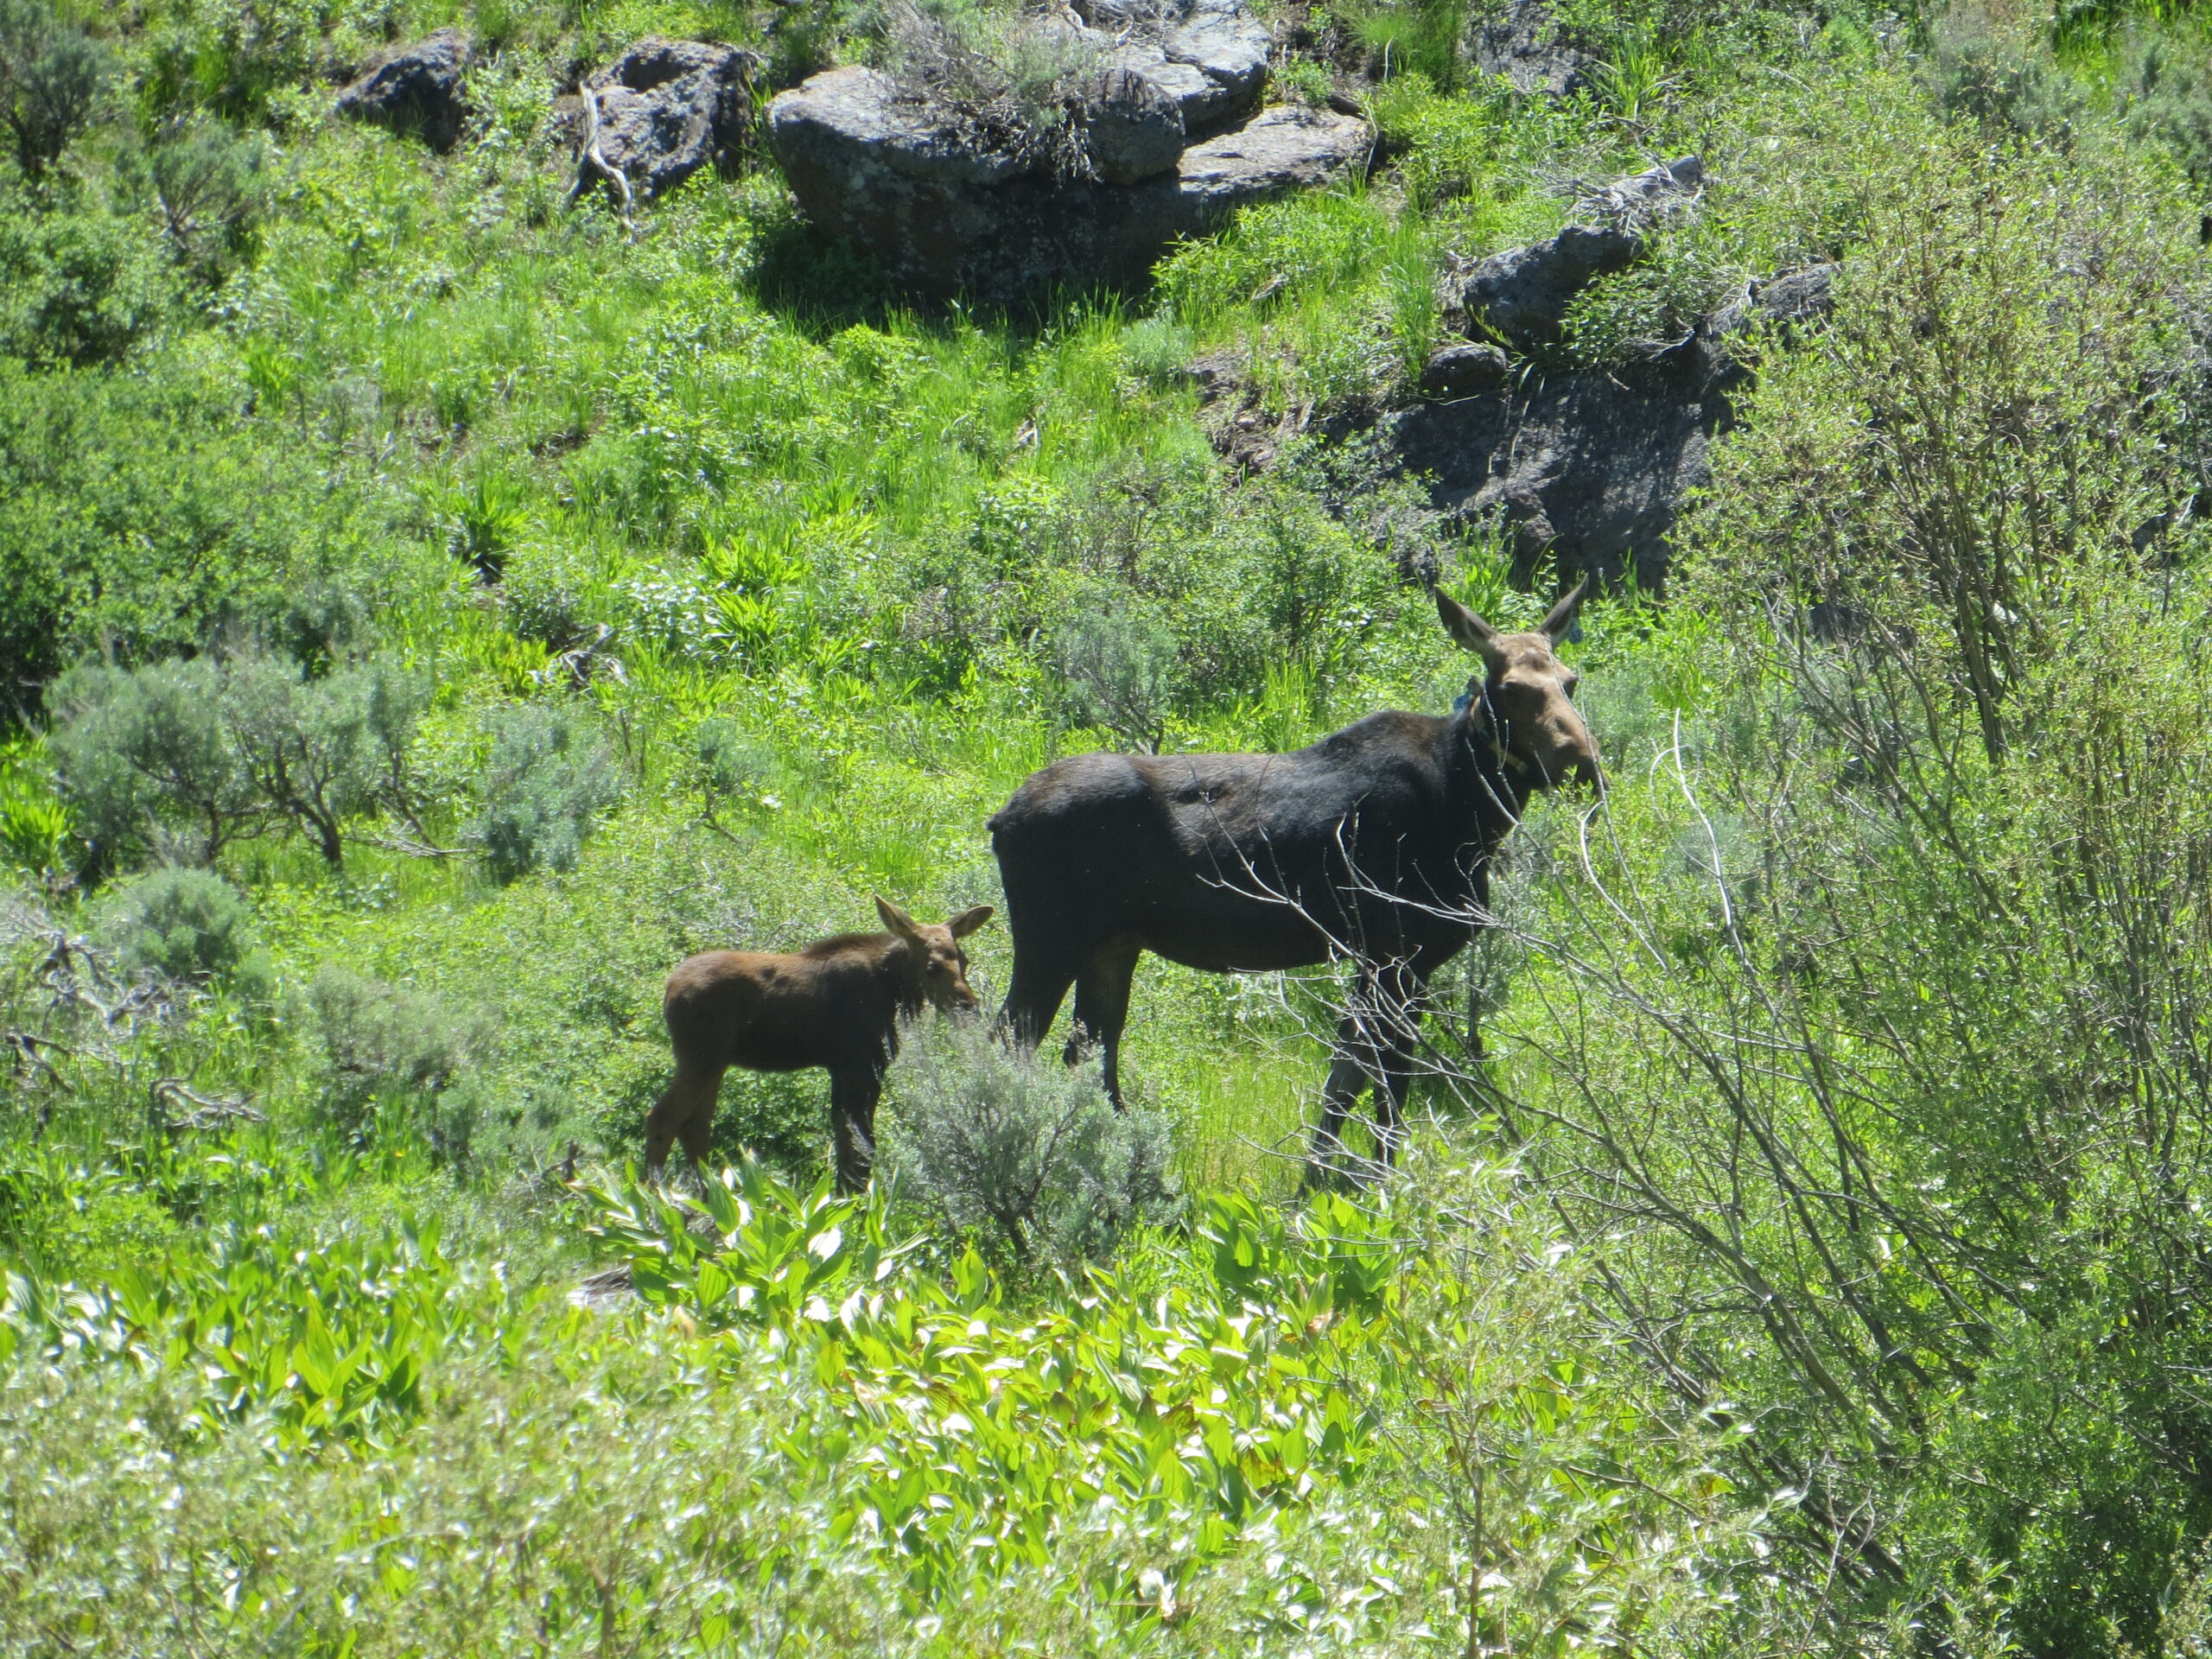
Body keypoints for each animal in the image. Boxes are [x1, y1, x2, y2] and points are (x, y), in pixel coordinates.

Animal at [645, 898, 995, 1194]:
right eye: (932, 967)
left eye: (964, 960)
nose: (968, 1007)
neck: (896, 992)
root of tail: (668, 987)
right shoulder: (862, 1063)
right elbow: (862, 1142)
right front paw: (857, 1204)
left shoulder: (841, 1068)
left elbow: (845, 1138)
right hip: (699, 1058)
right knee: (663, 1118)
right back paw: (654, 1201)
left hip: (714, 1062)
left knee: (695, 1124)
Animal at [995, 583, 1601, 1185]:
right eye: (1510, 688)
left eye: (1571, 681)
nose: (1582, 764)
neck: (1473, 812)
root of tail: (999, 820)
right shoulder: (1400, 958)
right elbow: (1386, 1091)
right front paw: (1381, 1187)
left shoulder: (1378, 961)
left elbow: (1344, 1083)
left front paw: (1313, 1182)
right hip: (1051, 939)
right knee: (1008, 1043)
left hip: (1111, 946)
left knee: (1088, 1051)